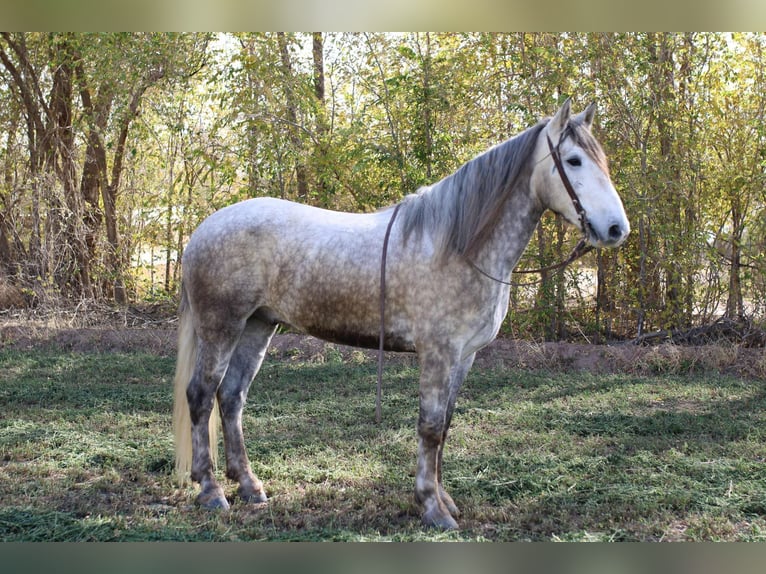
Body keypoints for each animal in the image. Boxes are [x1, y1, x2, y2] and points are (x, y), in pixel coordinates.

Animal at [172, 99, 630, 530]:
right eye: (573, 160)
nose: (616, 229)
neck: (458, 246)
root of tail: (202, 232)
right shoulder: (438, 354)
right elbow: (430, 427)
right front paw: (432, 508)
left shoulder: (464, 356)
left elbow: (445, 426)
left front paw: (443, 500)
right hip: (221, 327)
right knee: (201, 396)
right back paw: (211, 489)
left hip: (258, 326)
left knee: (231, 397)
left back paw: (249, 485)